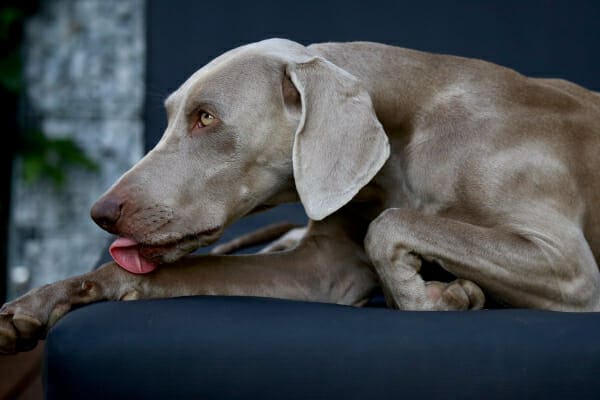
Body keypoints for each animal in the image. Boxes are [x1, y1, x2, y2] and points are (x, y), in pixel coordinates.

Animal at [1, 39, 600, 354]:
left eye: (205, 117)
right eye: (172, 116)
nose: (101, 213)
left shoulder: (569, 268)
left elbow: (393, 224)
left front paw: (435, 297)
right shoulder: (320, 268)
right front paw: (40, 302)